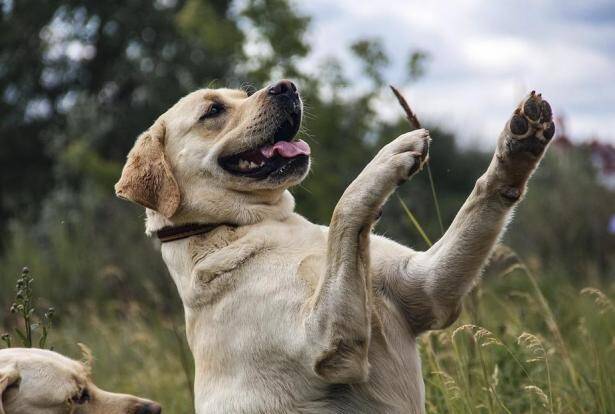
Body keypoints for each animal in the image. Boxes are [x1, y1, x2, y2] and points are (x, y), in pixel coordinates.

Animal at [114, 79, 552, 412]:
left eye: (244, 93)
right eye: (213, 111)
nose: (286, 86)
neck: (248, 225)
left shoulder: (427, 287)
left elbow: (481, 198)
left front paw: (518, 145)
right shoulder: (325, 341)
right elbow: (346, 205)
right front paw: (386, 158)